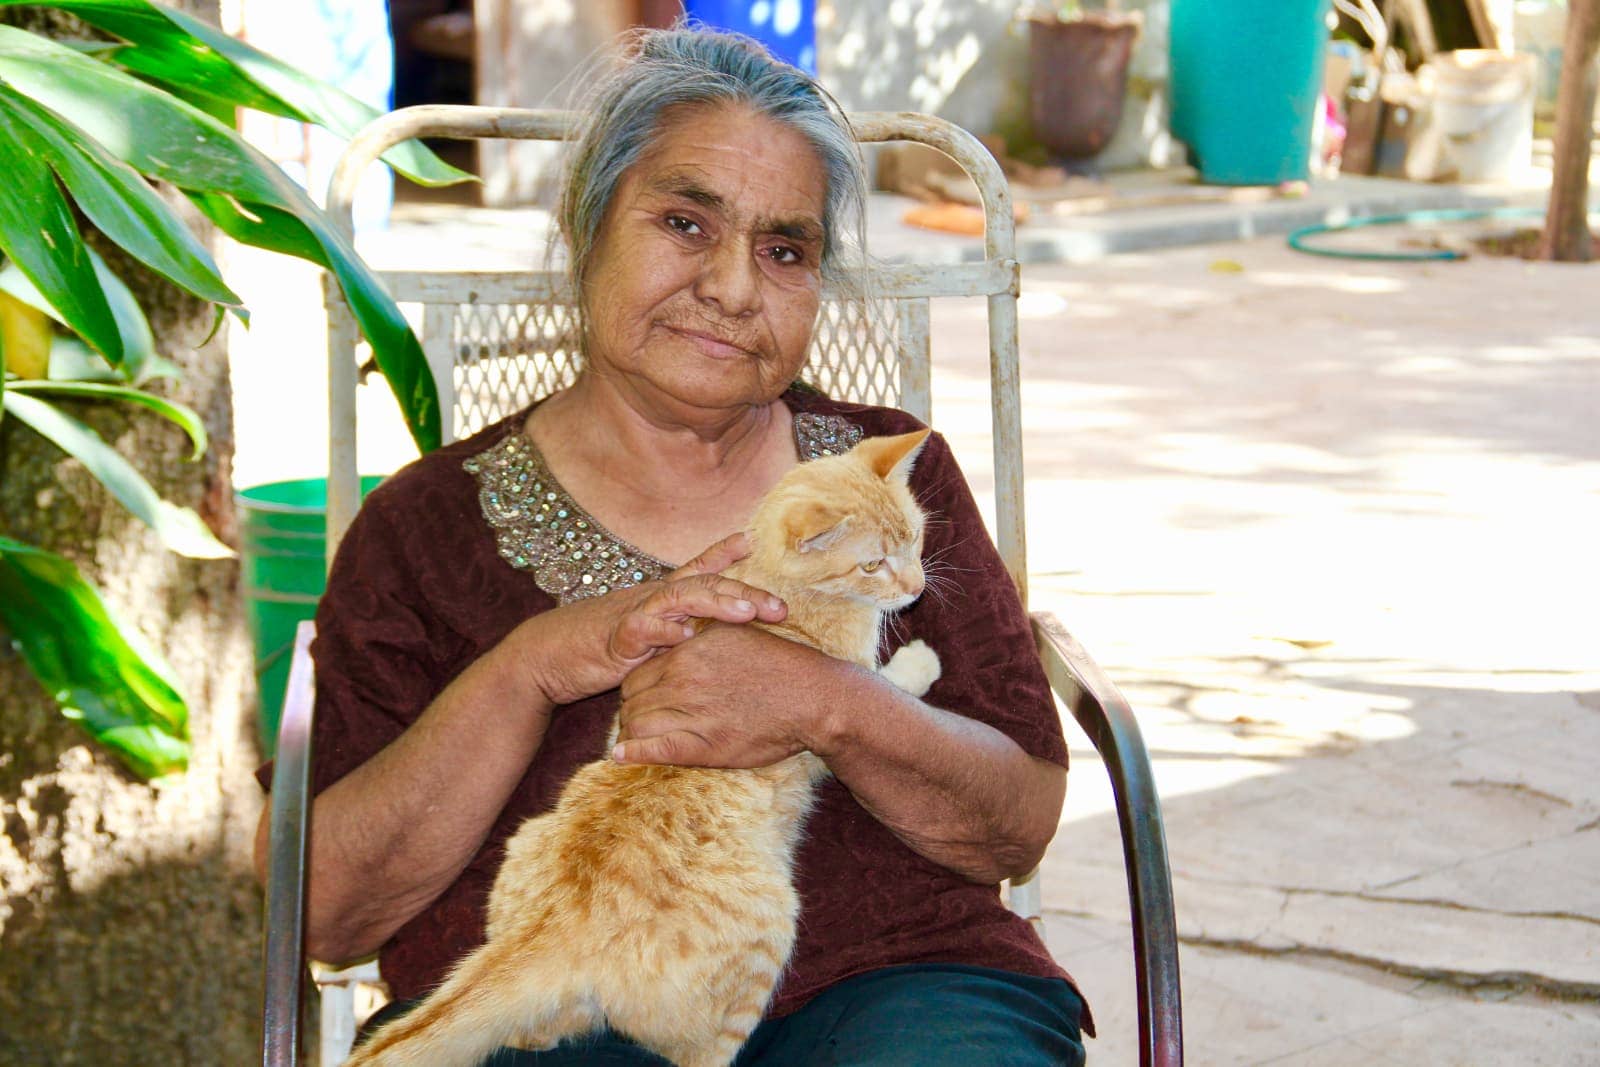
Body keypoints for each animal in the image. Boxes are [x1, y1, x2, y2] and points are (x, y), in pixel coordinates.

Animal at [347, 431, 934, 1067]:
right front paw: (920, 664)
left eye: (915, 537)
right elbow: (878, 688)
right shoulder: (833, 704)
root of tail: (562, 918)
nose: (917, 587)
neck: (768, 580)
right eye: (872, 564)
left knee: (535, 1027)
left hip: (523, 857)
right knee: (701, 1054)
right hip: (769, 935)